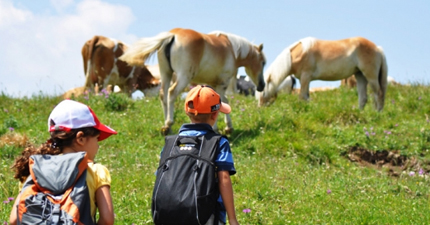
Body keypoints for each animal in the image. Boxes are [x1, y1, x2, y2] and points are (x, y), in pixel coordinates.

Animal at [118, 27, 266, 134]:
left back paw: (166, 126)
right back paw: (169, 123)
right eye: (263, 62)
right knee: (172, 93)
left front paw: (227, 127)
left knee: (163, 94)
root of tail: (172, 35)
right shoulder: (222, 83)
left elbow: (222, 102)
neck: (232, 49)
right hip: (184, 77)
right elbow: (222, 102)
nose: (261, 86)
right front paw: (222, 128)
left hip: (166, 73)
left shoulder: (213, 84)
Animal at [256, 36, 388, 111]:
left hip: (370, 76)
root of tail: (378, 48)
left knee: (379, 94)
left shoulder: (305, 77)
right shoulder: (306, 79)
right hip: (360, 76)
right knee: (363, 98)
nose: (259, 109)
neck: (298, 54)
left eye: (263, 92)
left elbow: (302, 97)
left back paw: (377, 114)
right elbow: (307, 97)